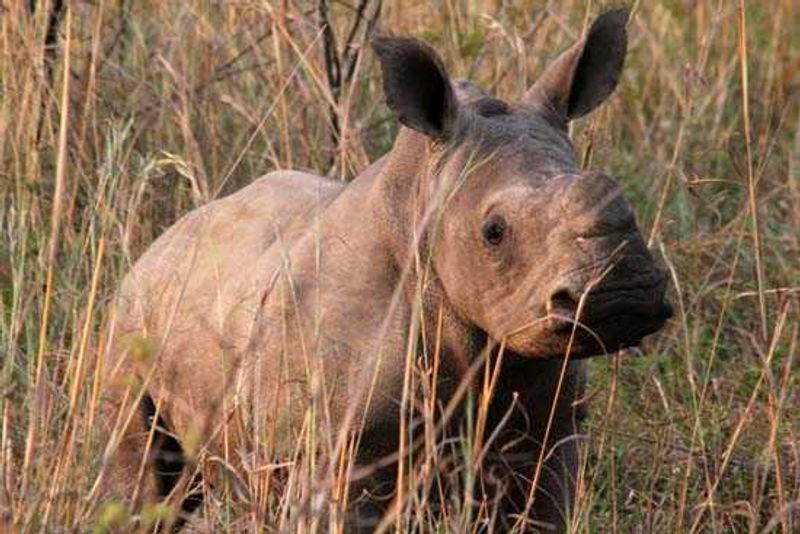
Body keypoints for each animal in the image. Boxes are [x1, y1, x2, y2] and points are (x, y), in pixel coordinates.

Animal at [100, 8, 671, 531]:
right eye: (494, 231)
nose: (622, 291)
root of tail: (166, 238)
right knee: (142, 481)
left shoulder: (550, 434)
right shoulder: (336, 446)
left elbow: (539, 509)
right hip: (132, 319)